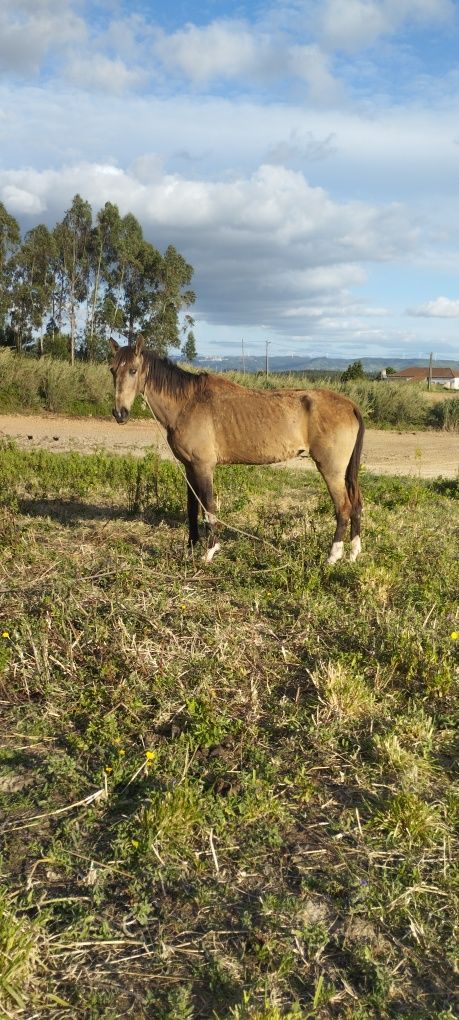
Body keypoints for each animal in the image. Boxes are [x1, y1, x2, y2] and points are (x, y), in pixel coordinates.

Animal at [109, 340, 363, 567]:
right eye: (112, 369)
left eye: (133, 370)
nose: (120, 413)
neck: (188, 403)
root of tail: (350, 405)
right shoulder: (189, 468)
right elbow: (192, 508)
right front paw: (191, 547)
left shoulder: (204, 467)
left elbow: (209, 508)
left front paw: (209, 552)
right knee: (356, 505)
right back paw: (353, 554)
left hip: (331, 470)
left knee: (343, 508)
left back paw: (333, 557)